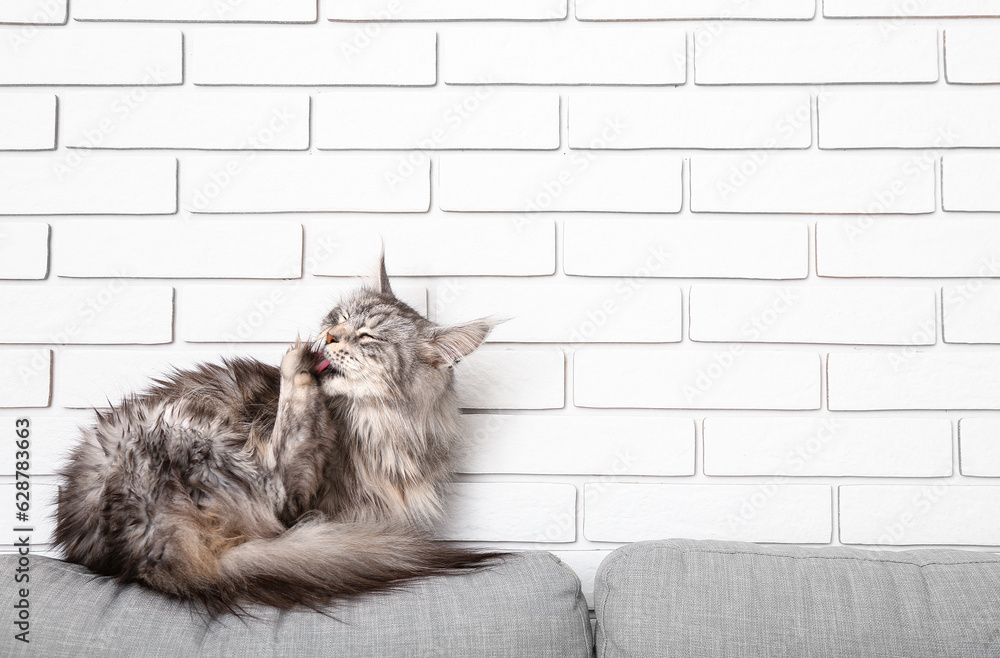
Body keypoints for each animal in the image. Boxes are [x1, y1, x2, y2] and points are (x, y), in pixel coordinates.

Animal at [52, 258, 498, 612]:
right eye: (338, 317)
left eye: (367, 336)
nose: (329, 337)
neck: (381, 429)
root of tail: (141, 549)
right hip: (193, 433)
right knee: (280, 485)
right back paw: (296, 366)